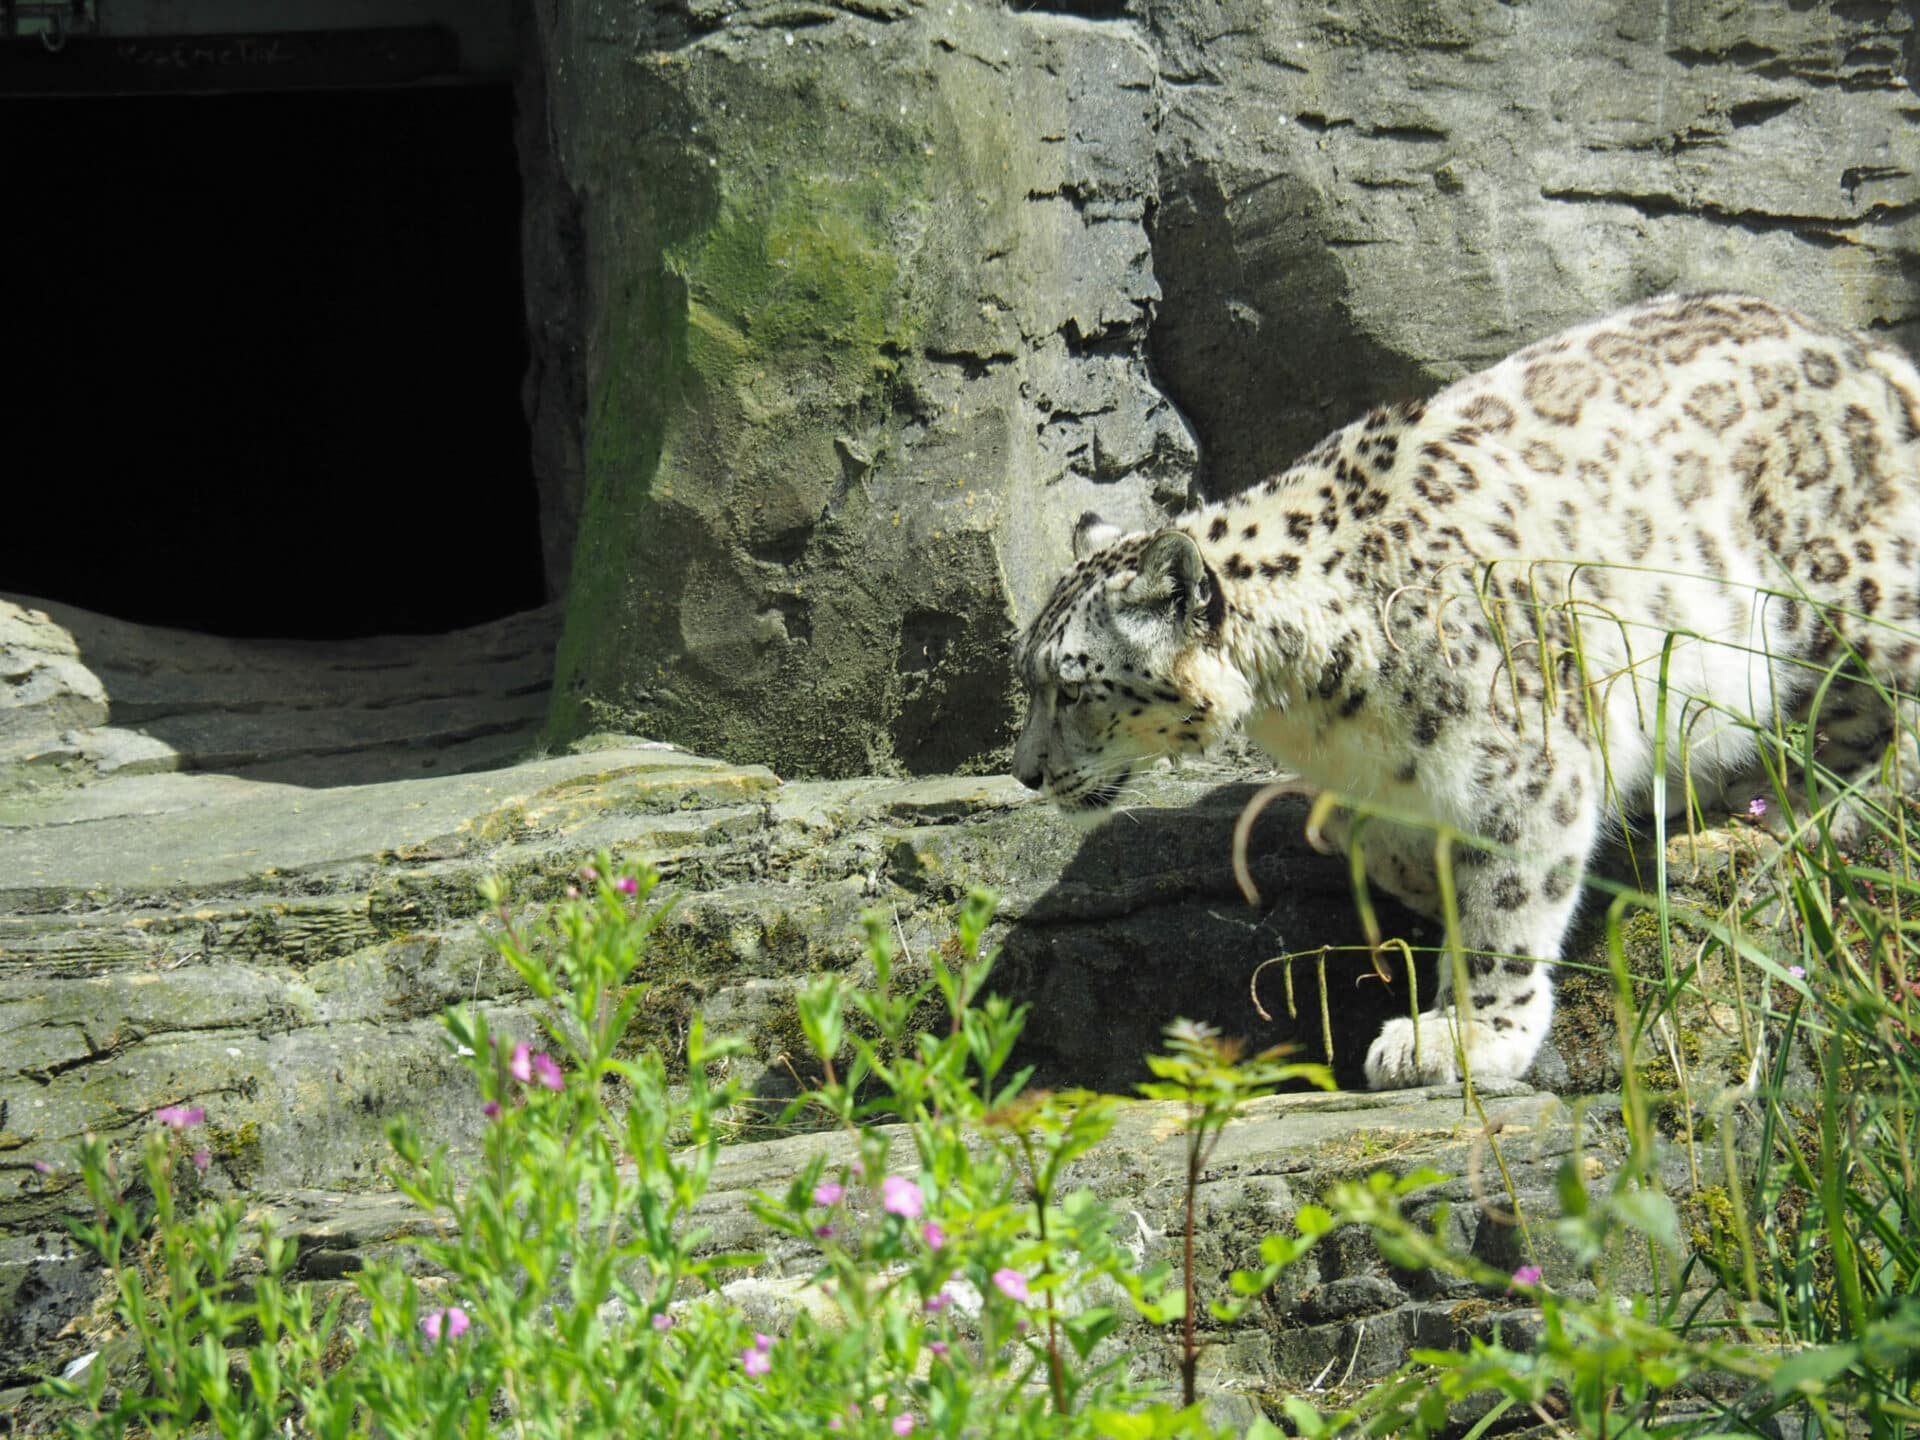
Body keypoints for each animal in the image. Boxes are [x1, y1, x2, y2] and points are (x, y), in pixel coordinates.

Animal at [1013, 293, 1912, 1090]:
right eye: (1030, 676)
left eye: (1072, 687)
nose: (1025, 773)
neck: (1316, 718)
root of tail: (1874, 354)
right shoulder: (1366, 781)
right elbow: (1370, 839)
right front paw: (1419, 883)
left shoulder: (1528, 762)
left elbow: (1508, 899)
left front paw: (1460, 1037)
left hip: (1838, 601)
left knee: (1876, 719)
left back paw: (1782, 814)